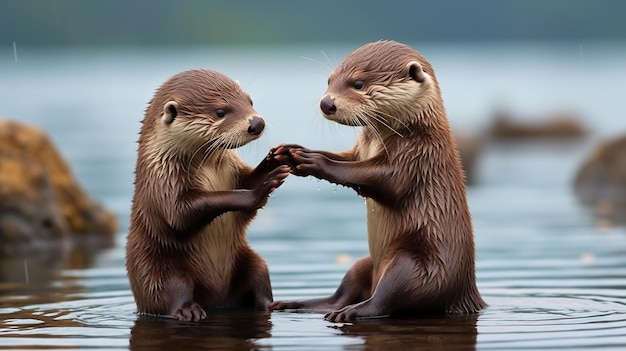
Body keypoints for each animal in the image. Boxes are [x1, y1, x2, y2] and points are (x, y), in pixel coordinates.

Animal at [125, 69, 290, 322]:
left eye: (250, 101)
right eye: (220, 112)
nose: (257, 122)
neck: (210, 170)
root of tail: (218, 299)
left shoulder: (234, 172)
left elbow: (247, 181)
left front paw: (276, 159)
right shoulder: (163, 184)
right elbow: (183, 215)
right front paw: (259, 190)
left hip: (251, 260)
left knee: (259, 278)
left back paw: (272, 305)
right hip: (158, 271)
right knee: (172, 292)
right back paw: (189, 311)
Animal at [270, 40, 486, 322]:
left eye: (358, 83)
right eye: (329, 80)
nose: (327, 103)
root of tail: (467, 293)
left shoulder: (416, 155)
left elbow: (379, 179)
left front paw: (313, 160)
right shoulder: (359, 150)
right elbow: (345, 158)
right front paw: (292, 151)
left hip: (413, 265)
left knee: (386, 298)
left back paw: (349, 312)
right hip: (364, 263)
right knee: (343, 293)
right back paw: (295, 303)